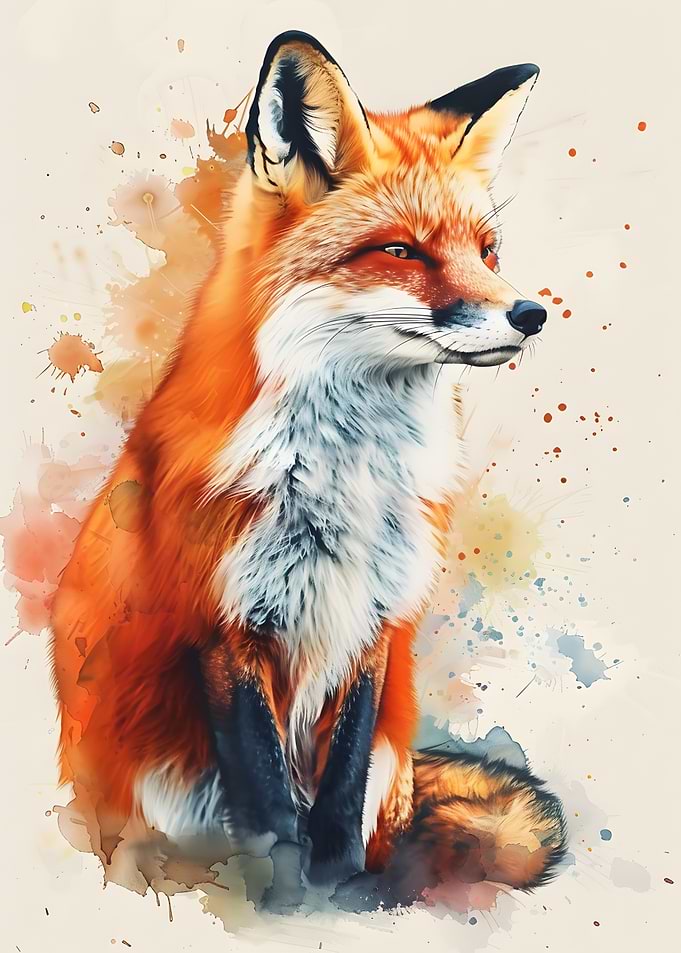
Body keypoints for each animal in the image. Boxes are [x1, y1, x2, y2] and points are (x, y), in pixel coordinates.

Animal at [50, 31, 566, 896]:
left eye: (486, 251)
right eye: (401, 251)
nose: (531, 315)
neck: (346, 481)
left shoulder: (374, 620)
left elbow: (340, 788)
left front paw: (337, 883)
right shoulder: (222, 626)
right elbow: (266, 807)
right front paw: (286, 896)